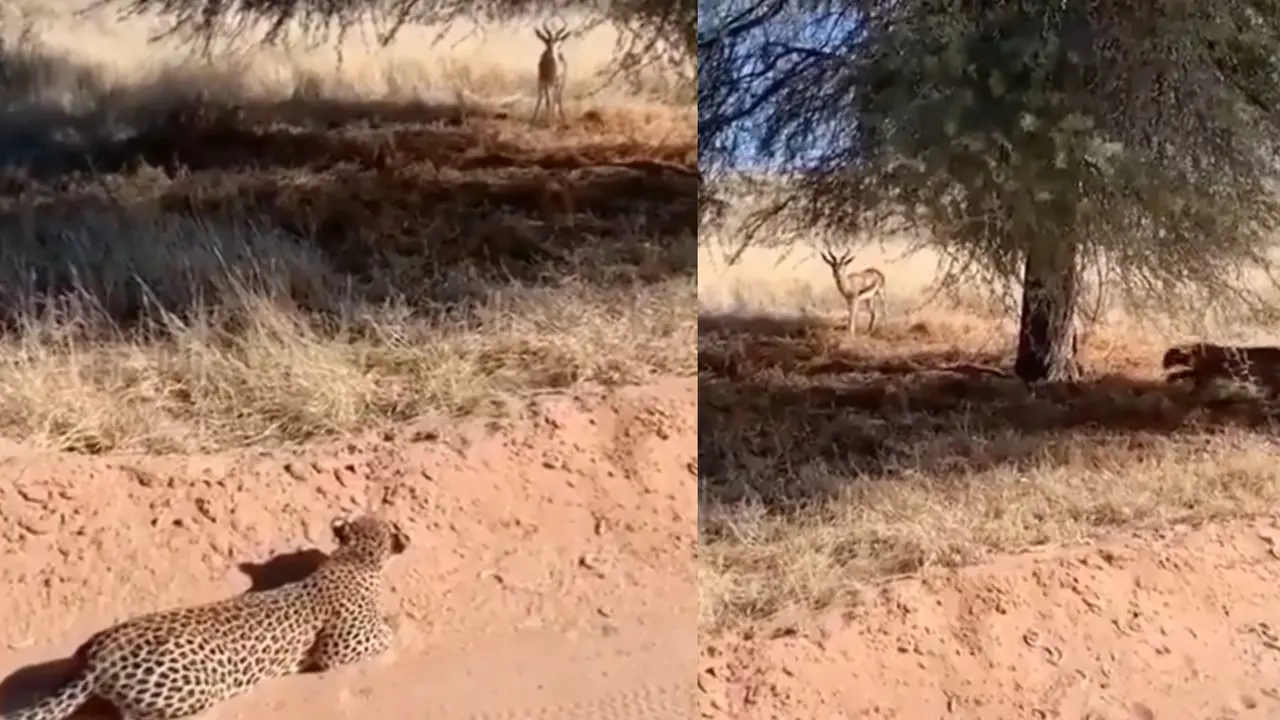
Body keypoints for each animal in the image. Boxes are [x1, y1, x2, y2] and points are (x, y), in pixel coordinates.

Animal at [5, 514, 409, 720]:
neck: (354, 558)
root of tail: (98, 653)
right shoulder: (336, 650)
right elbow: (385, 632)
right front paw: (396, 621)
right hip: (195, 687)